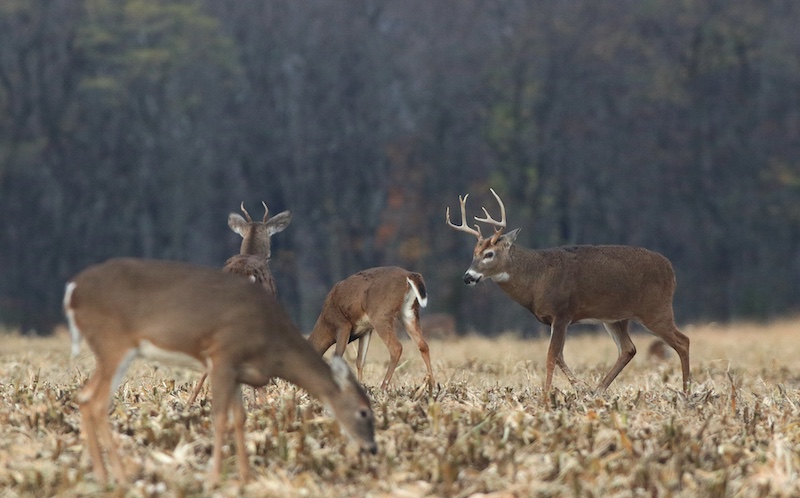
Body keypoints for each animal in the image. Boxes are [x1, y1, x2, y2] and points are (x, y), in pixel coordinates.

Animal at [64, 258, 376, 487]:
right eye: (364, 412)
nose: (372, 448)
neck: (271, 345)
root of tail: (73, 291)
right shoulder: (223, 356)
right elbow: (219, 418)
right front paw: (214, 479)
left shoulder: (238, 371)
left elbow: (239, 418)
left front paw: (245, 477)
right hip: (114, 343)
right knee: (97, 402)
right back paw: (120, 478)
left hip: (107, 350)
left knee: (84, 397)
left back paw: (103, 475)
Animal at [446, 188, 691, 393]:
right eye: (474, 253)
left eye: (489, 254)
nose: (468, 277)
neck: (537, 278)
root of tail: (671, 271)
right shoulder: (552, 320)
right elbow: (559, 356)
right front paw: (580, 387)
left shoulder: (562, 313)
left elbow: (551, 356)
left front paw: (546, 397)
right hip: (615, 318)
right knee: (628, 349)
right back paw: (597, 390)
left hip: (655, 309)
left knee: (683, 341)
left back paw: (686, 392)